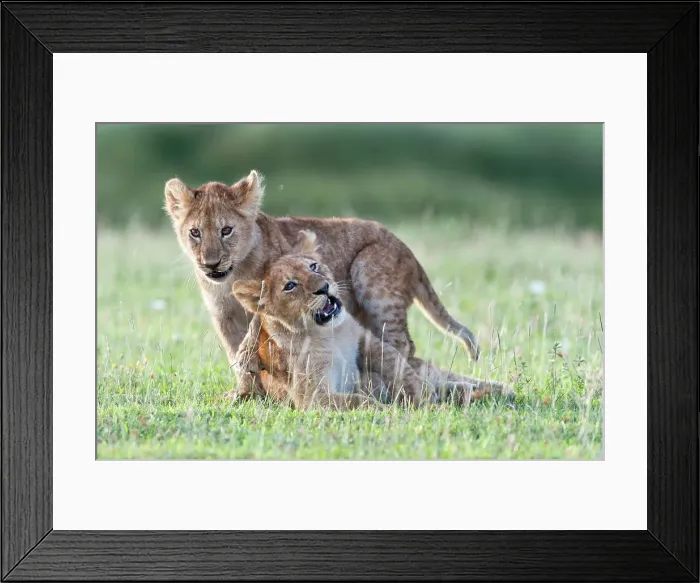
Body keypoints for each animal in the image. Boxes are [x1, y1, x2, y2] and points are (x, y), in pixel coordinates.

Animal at [164, 169, 482, 397]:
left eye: (226, 230)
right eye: (195, 232)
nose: (210, 263)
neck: (233, 275)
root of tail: (407, 249)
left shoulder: (266, 305)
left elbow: (250, 341)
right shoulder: (224, 316)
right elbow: (235, 353)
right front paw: (246, 392)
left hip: (371, 275)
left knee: (401, 345)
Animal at [233, 231, 514, 409]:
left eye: (313, 266)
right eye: (290, 286)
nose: (323, 288)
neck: (329, 334)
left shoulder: (365, 340)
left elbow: (397, 367)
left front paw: (420, 397)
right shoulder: (312, 396)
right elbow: (359, 401)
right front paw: (393, 411)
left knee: (442, 375)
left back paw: (500, 390)